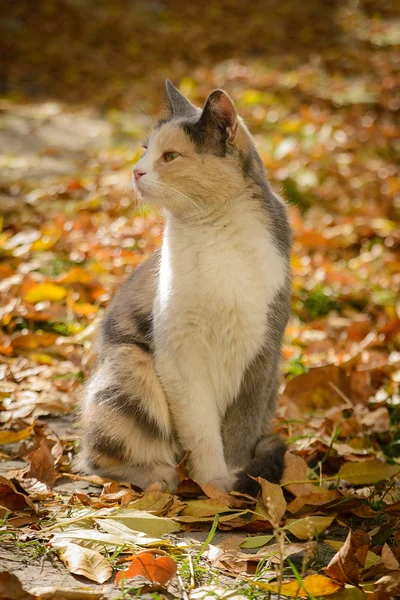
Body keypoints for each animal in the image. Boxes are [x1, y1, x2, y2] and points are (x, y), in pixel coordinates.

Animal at [79, 81, 290, 496]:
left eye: (171, 156)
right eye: (145, 148)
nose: (136, 171)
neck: (215, 232)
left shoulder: (262, 355)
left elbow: (239, 431)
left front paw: (234, 481)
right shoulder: (180, 355)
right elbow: (202, 429)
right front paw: (214, 487)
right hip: (130, 366)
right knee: (97, 459)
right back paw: (162, 478)